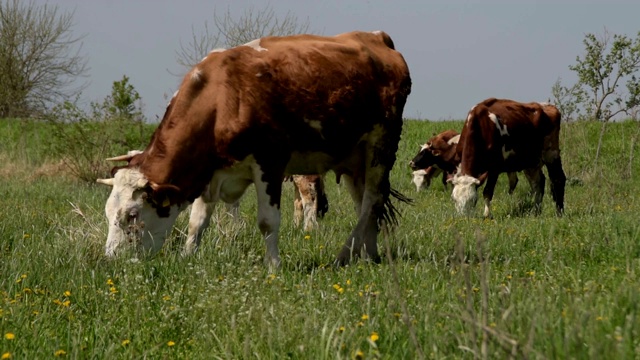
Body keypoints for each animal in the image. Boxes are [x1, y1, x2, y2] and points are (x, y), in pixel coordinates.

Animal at [97, 31, 412, 268]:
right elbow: (197, 222)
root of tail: (377, 37)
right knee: (365, 204)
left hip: (381, 145)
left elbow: (267, 221)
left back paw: (344, 256)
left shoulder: (269, 162)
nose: (111, 260)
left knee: (371, 200)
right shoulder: (210, 171)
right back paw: (368, 255)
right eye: (108, 212)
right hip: (355, 156)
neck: (221, 99)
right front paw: (187, 258)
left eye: (132, 215)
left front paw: (273, 267)